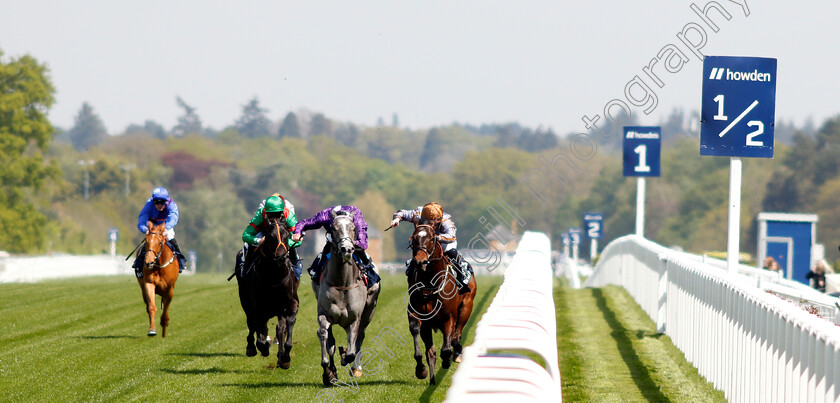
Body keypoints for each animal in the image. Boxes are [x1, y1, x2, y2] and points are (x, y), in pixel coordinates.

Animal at [235, 216, 300, 370]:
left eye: (286, 235)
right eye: (270, 237)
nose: (282, 257)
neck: (274, 276)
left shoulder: (289, 303)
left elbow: (286, 325)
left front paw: (284, 357)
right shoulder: (257, 305)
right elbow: (259, 331)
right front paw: (263, 347)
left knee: (278, 328)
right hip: (245, 300)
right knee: (252, 323)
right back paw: (252, 347)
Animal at [316, 213, 380, 386]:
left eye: (353, 228)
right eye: (334, 228)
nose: (347, 249)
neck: (342, 283)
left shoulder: (354, 318)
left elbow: (352, 349)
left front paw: (346, 357)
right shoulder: (324, 313)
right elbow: (325, 337)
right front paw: (329, 373)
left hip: (369, 312)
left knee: (360, 337)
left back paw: (356, 368)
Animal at [408, 219, 476, 386]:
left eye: (432, 238)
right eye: (414, 238)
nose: (420, 260)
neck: (430, 284)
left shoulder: (448, 317)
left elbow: (446, 348)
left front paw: (447, 359)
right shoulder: (417, 316)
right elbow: (417, 334)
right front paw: (421, 369)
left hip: (466, 307)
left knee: (457, 335)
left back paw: (456, 353)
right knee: (431, 352)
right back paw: (432, 378)